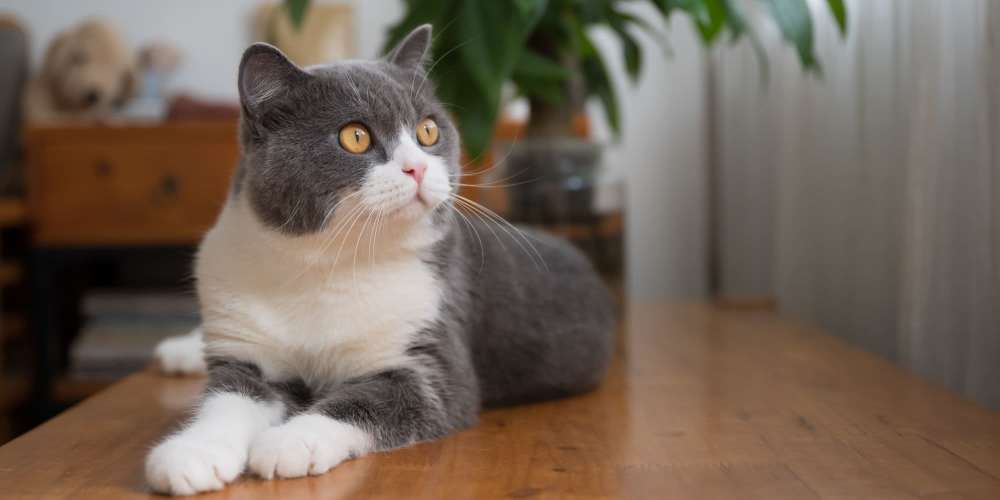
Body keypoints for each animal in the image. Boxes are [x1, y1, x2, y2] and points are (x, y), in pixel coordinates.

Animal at [144, 25, 612, 494]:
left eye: (428, 131)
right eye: (355, 136)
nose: (417, 169)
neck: (325, 265)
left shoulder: (433, 358)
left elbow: (364, 401)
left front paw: (289, 442)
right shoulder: (247, 350)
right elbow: (228, 398)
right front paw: (191, 454)